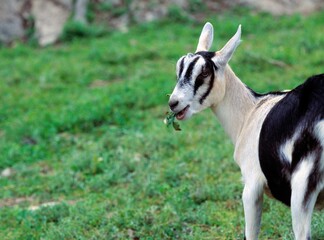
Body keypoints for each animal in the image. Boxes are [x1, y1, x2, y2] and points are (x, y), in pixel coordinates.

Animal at [168, 22, 322, 240]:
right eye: (179, 68)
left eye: (204, 72)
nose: (174, 103)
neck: (251, 111)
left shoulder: (251, 186)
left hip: (302, 188)